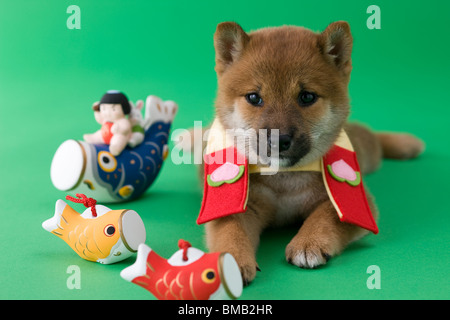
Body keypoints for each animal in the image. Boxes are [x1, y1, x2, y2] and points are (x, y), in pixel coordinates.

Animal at [201, 21, 426, 284]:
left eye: (307, 96)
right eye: (254, 97)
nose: (278, 139)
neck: (284, 181)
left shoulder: (357, 203)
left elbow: (328, 215)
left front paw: (309, 242)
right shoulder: (237, 206)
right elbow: (230, 230)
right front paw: (231, 261)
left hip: (366, 154)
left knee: (372, 139)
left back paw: (406, 143)